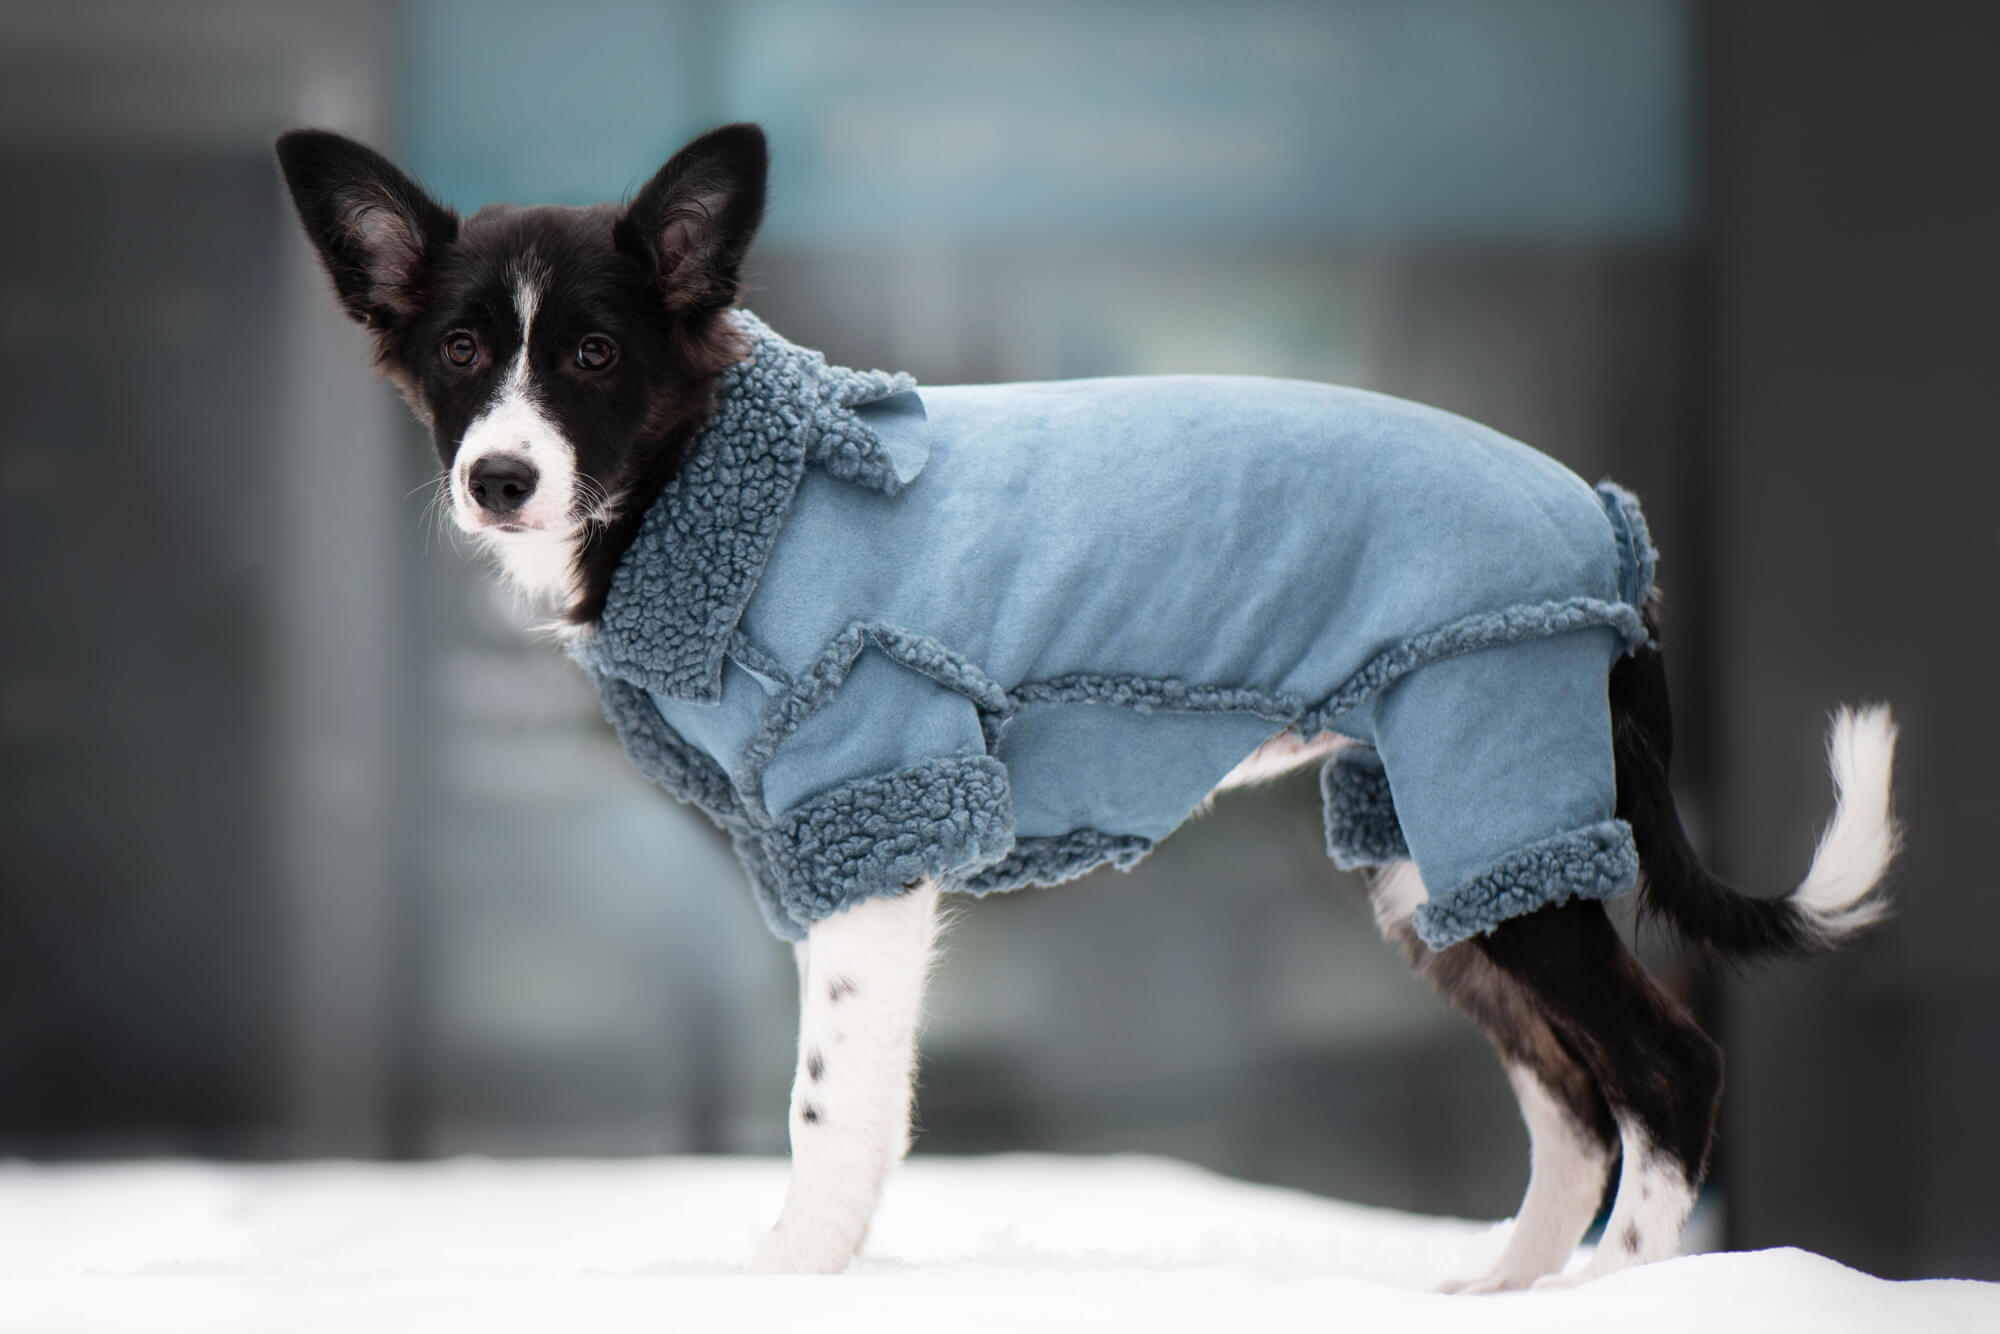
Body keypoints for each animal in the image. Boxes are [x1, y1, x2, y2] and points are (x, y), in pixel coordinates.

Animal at [274, 128, 1896, 1296]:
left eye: (595, 355)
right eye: (461, 353)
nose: (498, 478)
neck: (714, 489)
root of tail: (1611, 532)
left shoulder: (872, 813)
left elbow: (829, 1099)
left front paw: (791, 1272)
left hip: (1505, 785)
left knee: (1661, 1069)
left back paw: (1634, 1292)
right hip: (1442, 845)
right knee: (1567, 1100)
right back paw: (1504, 1292)